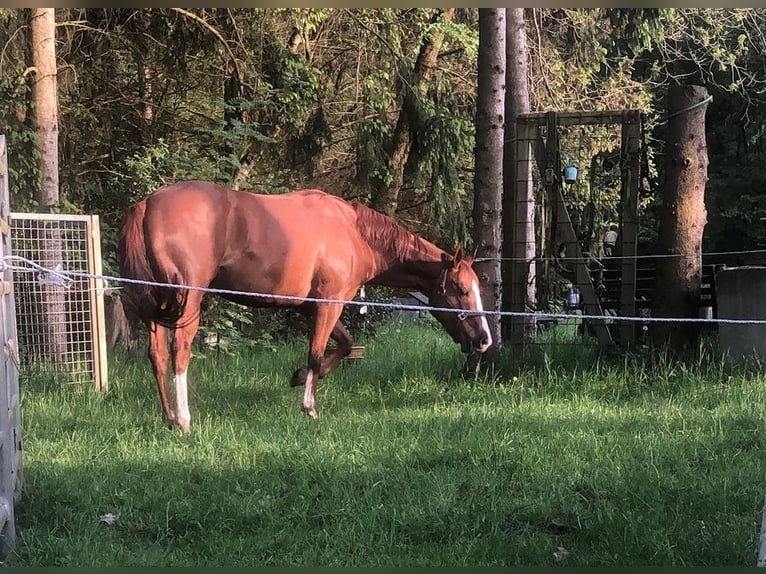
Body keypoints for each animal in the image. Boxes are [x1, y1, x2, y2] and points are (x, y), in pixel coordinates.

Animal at [118, 180, 496, 432]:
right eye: (462, 289)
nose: (484, 340)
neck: (353, 232)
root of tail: (147, 205)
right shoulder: (329, 304)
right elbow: (317, 352)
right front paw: (309, 407)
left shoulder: (308, 306)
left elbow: (343, 345)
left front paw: (299, 377)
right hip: (187, 304)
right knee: (179, 352)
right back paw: (184, 420)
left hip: (159, 307)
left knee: (157, 357)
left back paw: (168, 418)